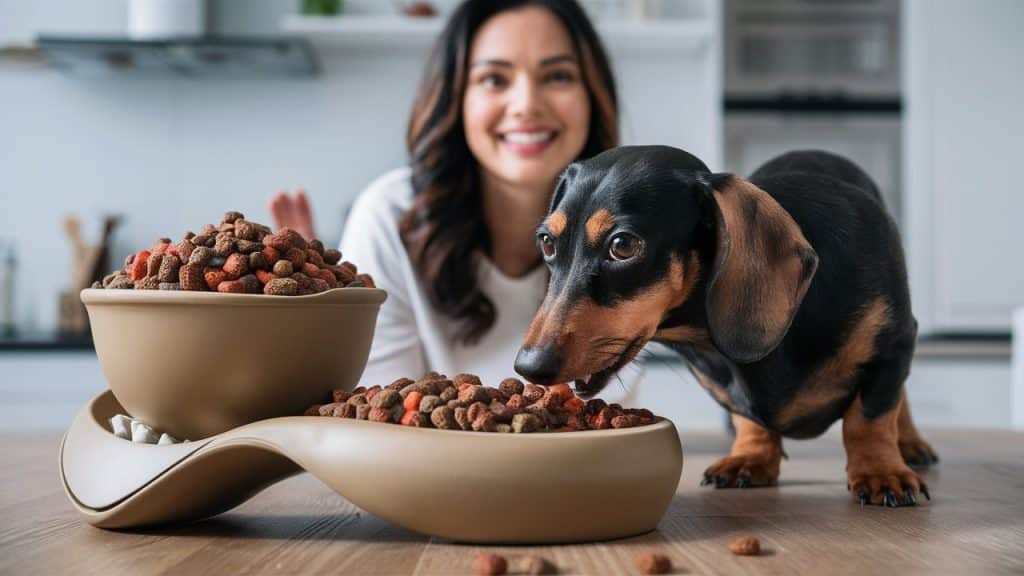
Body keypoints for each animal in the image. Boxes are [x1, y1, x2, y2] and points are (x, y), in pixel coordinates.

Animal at [516, 145, 937, 504]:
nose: (528, 366)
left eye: (623, 245)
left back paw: (909, 444)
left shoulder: (896, 344)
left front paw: (881, 473)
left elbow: (870, 416)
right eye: (547, 242)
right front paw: (752, 457)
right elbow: (746, 417)